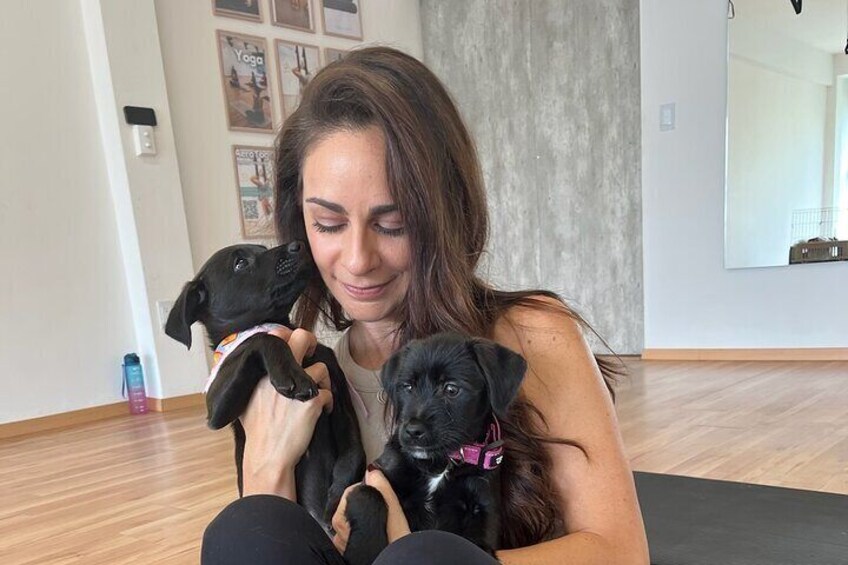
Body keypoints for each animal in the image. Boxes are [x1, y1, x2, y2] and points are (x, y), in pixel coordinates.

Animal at [165, 240, 364, 532]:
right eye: (240, 263)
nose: (298, 245)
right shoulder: (216, 409)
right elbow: (259, 337)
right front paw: (293, 375)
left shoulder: (340, 406)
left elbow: (353, 455)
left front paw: (337, 500)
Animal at [342, 332, 528, 560]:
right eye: (408, 386)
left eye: (451, 389)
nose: (413, 431)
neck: (443, 461)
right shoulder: (374, 475)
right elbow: (369, 495)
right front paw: (363, 552)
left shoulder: (484, 509)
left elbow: (476, 545)